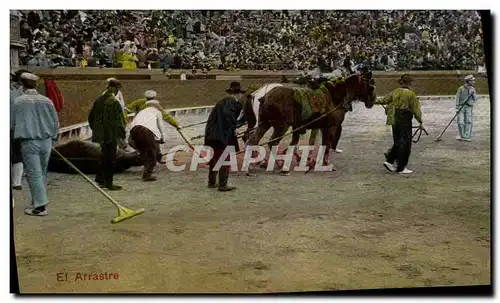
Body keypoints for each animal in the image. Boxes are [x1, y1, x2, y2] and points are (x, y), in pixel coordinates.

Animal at [244, 70, 376, 175]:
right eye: (371, 86)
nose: (372, 101)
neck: (334, 96)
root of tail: (263, 95)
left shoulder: (315, 126)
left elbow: (312, 142)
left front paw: (311, 160)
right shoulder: (329, 127)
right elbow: (325, 145)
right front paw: (323, 163)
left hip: (264, 123)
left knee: (252, 140)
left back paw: (249, 166)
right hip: (281, 126)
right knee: (272, 143)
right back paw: (281, 164)